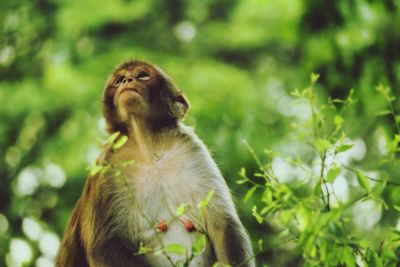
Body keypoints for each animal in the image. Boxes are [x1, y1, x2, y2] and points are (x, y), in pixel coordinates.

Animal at [55, 60, 253, 267]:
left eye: (142, 75)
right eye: (119, 80)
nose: (127, 80)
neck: (148, 149)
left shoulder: (192, 150)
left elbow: (224, 227)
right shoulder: (107, 167)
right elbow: (104, 247)